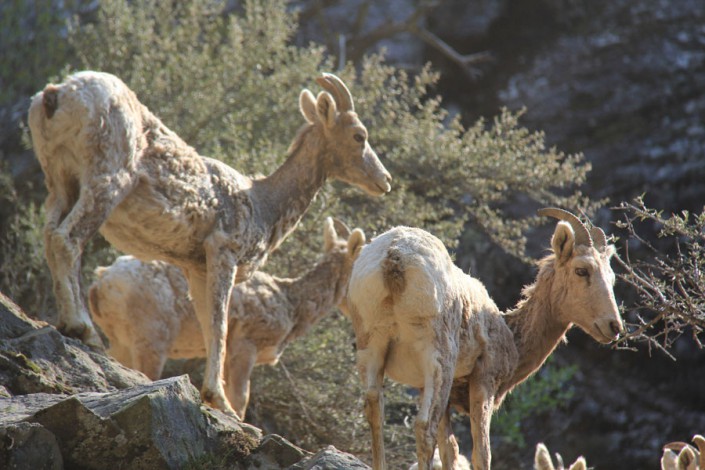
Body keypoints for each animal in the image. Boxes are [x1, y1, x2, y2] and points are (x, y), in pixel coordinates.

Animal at [87, 218, 364, 418]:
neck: (290, 305)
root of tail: (100, 284)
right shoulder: (245, 345)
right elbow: (240, 398)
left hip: (121, 341)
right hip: (152, 337)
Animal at [346, 209, 620, 470]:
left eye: (612, 277)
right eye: (582, 270)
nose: (614, 326)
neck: (510, 334)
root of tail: (395, 255)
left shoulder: (434, 393)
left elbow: (450, 451)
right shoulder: (483, 382)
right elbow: (481, 454)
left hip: (371, 348)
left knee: (375, 411)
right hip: (438, 361)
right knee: (424, 427)